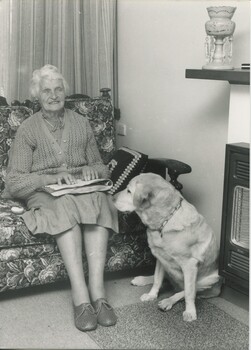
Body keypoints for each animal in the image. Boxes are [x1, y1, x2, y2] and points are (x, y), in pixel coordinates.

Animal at [113, 172, 222, 320]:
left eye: (129, 191)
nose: (112, 198)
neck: (165, 222)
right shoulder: (160, 258)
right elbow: (157, 280)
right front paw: (151, 295)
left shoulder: (190, 265)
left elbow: (189, 292)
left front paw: (190, 312)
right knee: (164, 280)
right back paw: (142, 279)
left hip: (211, 280)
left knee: (185, 291)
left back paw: (167, 301)